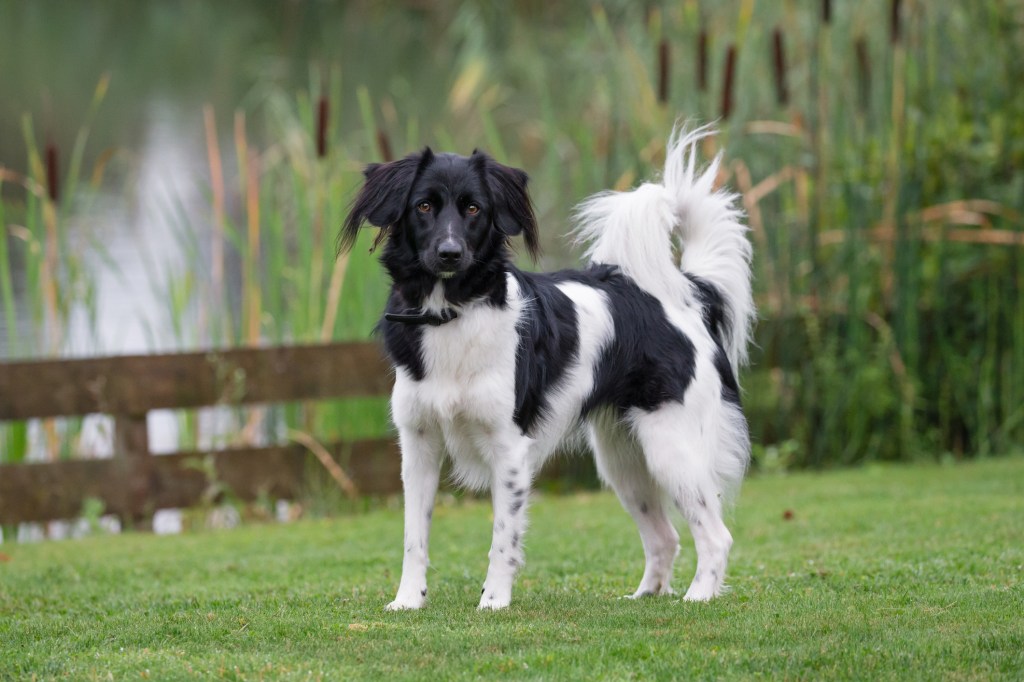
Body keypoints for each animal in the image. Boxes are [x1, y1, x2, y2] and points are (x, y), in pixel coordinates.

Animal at [342, 124, 753, 606]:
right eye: (423, 206)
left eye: (474, 208)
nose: (449, 253)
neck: (453, 314)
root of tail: (684, 295)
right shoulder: (418, 446)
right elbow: (414, 537)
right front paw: (408, 601)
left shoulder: (509, 449)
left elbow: (503, 537)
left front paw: (493, 602)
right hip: (624, 461)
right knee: (664, 537)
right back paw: (644, 599)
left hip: (672, 448)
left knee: (716, 536)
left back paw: (698, 597)